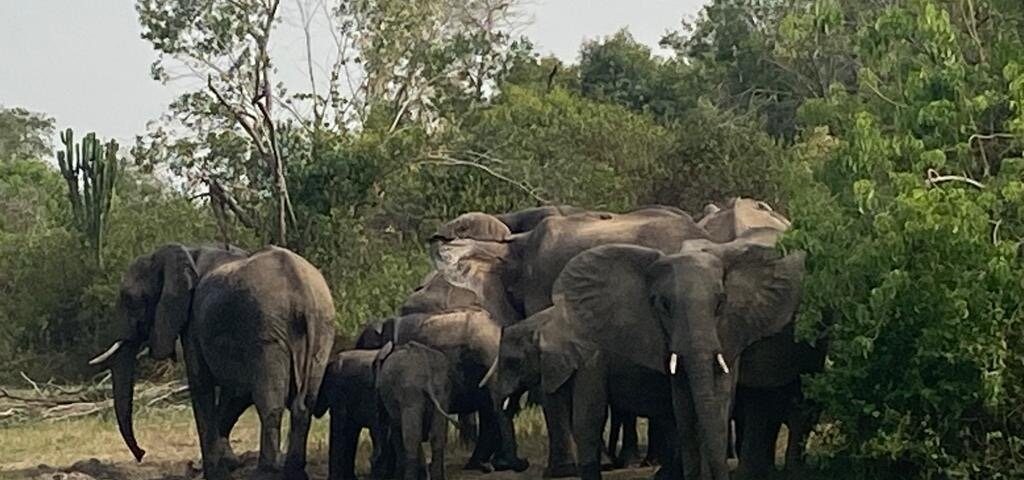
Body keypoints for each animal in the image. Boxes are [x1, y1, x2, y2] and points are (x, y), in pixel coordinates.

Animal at [88, 244, 336, 480]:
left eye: (129, 299)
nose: (141, 454)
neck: (186, 252)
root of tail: (303, 292)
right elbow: (236, 393)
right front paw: (227, 463)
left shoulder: (194, 324)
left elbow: (201, 385)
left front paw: (215, 473)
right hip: (322, 329)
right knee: (305, 402)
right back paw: (295, 473)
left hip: (267, 330)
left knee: (270, 404)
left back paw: (265, 473)